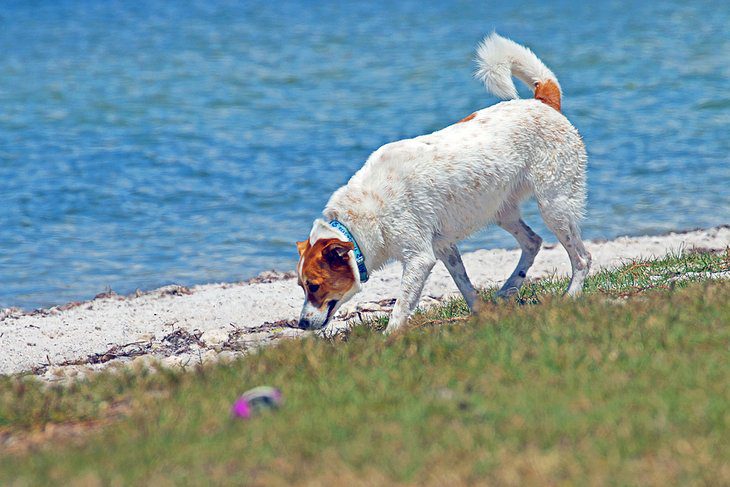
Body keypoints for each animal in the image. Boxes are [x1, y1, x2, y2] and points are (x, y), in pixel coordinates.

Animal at [292, 32, 588, 334]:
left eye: (314, 286)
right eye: (301, 286)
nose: (300, 324)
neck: (366, 210)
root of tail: (543, 102)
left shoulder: (420, 258)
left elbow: (401, 306)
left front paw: (389, 337)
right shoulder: (445, 247)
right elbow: (465, 285)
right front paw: (480, 314)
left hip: (554, 205)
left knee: (582, 259)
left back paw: (571, 296)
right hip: (501, 211)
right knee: (533, 242)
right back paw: (507, 289)